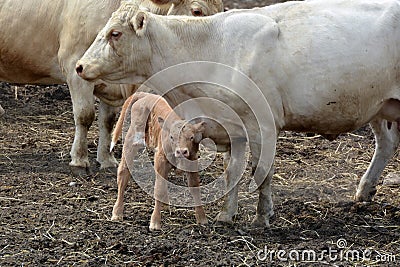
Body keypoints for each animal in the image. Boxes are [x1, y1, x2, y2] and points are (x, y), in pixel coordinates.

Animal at [0, 0, 222, 176]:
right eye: (197, 11)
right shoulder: (75, 68)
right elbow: (85, 116)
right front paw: (79, 160)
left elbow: (108, 121)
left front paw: (106, 159)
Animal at [111, 92, 208, 230]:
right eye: (172, 137)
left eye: (191, 137)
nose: (181, 151)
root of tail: (146, 95)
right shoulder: (160, 160)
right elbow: (159, 189)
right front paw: (155, 222)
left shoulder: (192, 161)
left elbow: (195, 187)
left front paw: (201, 218)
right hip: (131, 142)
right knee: (123, 173)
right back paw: (117, 212)